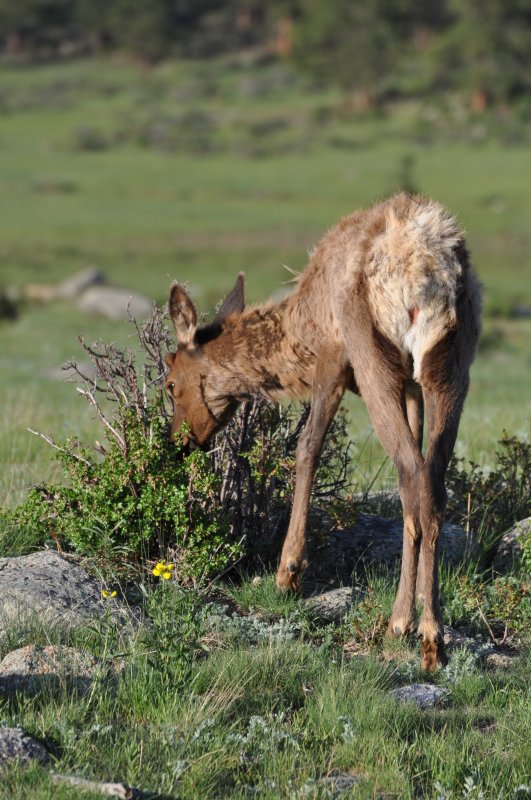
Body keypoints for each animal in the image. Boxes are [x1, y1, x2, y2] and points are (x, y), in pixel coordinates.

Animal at [166, 194, 482, 668]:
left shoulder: (331, 355)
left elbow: (307, 448)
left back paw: (427, 635)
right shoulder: (410, 385)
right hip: (449, 362)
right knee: (428, 481)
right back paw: (413, 625)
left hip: (371, 354)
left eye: (169, 382)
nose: (180, 441)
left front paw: (287, 572)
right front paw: (403, 618)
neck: (298, 333)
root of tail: (426, 265)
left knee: (411, 472)